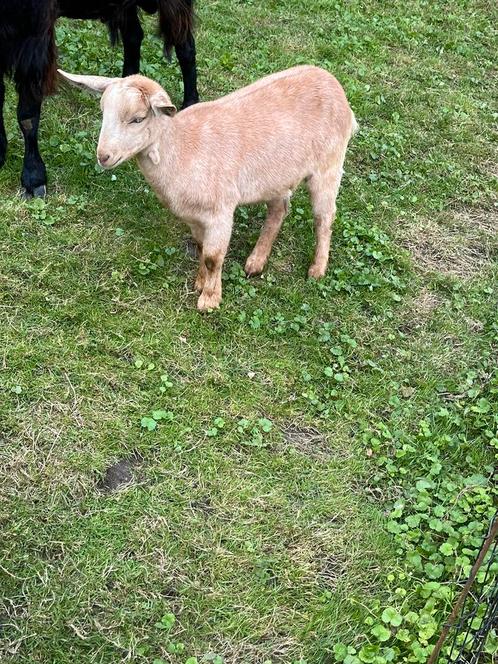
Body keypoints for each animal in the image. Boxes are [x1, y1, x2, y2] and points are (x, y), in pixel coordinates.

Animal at [0, 0, 198, 197]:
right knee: (134, 35)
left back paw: (191, 103)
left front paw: (33, 177)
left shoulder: (34, 35)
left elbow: (27, 115)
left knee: (185, 45)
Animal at [59, 65, 358, 312]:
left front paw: (209, 300)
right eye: (103, 112)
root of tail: (333, 83)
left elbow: (214, 256)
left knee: (324, 217)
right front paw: (200, 283)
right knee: (279, 209)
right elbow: (202, 248)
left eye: (138, 118)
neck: (181, 150)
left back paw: (317, 269)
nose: (103, 156)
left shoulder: (220, 211)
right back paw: (256, 262)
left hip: (329, 165)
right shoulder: (195, 217)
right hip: (278, 175)